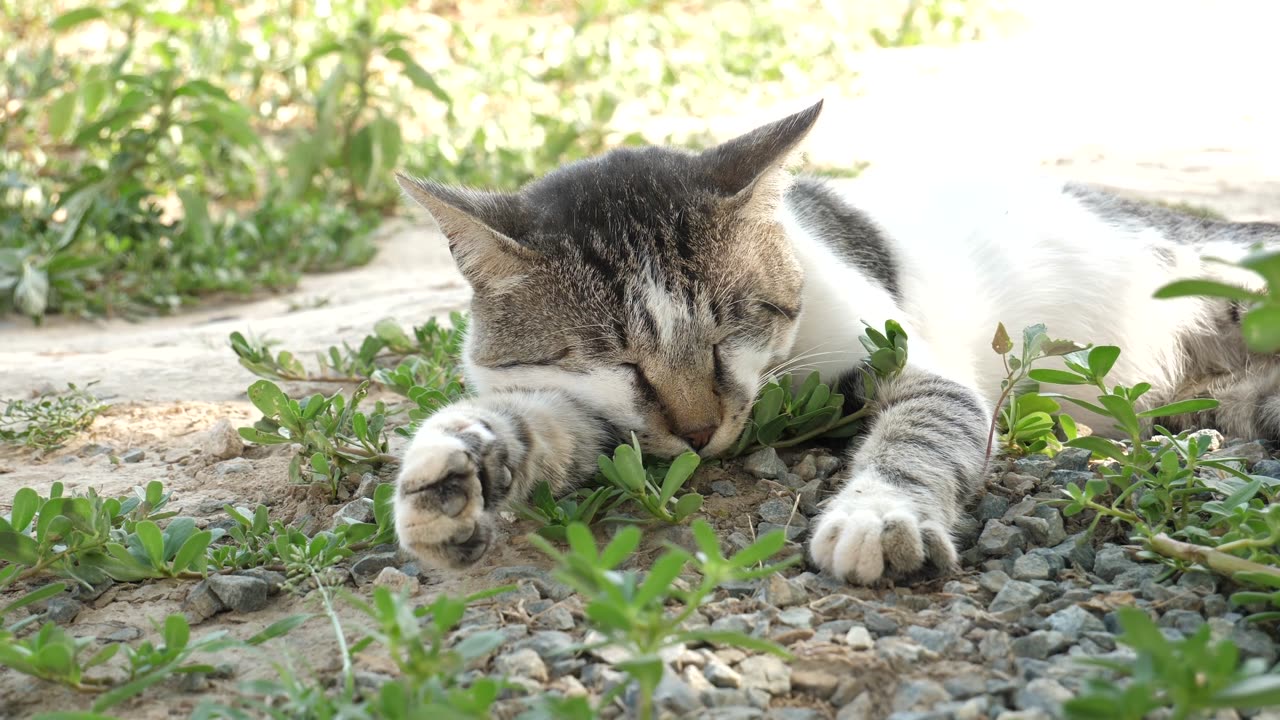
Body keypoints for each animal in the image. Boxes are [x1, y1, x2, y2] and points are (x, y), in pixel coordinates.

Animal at [394, 101, 1274, 584]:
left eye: (731, 328)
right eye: (618, 361)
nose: (702, 431)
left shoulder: (914, 365)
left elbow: (922, 434)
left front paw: (878, 513)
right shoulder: (612, 421)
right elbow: (545, 423)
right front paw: (455, 465)